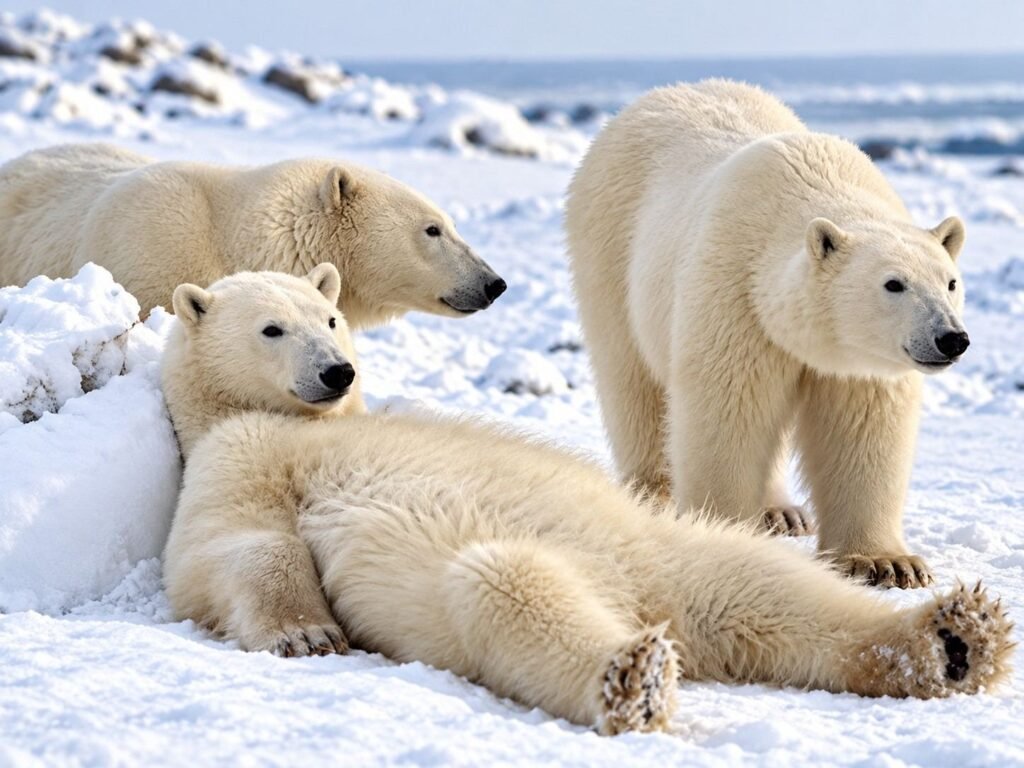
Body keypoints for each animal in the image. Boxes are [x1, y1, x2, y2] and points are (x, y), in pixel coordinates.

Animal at [566, 80, 970, 588]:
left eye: (950, 282)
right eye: (894, 283)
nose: (950, 338)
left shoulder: (858, 363)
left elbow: (863, 430)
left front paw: (889, 563)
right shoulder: (738, 296)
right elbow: (728, 407)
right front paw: (722, 533)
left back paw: (781, 512)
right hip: (610, 247)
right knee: (630, 377)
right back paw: (654, 491)